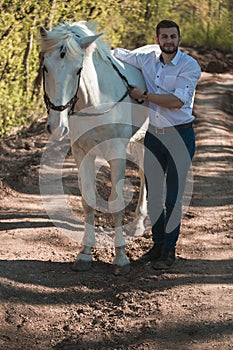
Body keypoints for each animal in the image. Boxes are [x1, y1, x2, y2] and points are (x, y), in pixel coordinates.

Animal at [39, 20, 150, 274]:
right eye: (45, 68)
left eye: (78, 69)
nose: (57, 126)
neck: (96, 102)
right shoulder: (83, 154)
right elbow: (88, 200)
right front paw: (84, 253)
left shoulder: (116, 153)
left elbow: (117, 202)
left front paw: (121, 257)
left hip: (143, 139)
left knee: (144, 174)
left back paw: (139, 224)